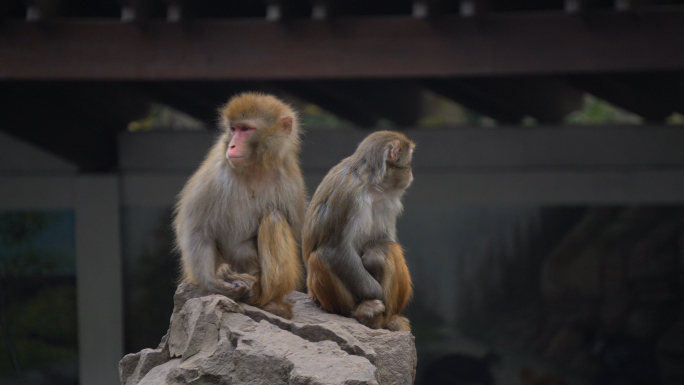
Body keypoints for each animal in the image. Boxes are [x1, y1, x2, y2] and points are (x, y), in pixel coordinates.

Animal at [174, 92, 304, 318]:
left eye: (245, 129)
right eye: (233, 129)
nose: (232, 146)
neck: (254, 167)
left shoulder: (290, 179)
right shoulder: (214, 172)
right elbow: (195, 228)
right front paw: (212, 282)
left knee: (272, 219)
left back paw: (269, 302)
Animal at [304, 130, 416, 330]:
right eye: (410, 155)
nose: (412, 171)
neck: (371, 185)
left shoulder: (390, 200)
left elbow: (385, 240)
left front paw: (375, 256)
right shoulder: (348, 194)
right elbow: (335, 250)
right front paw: (375, 291)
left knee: (391, 249)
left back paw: (386, 318)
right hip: (319, 296)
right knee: (318, 258)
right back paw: (362, 311)